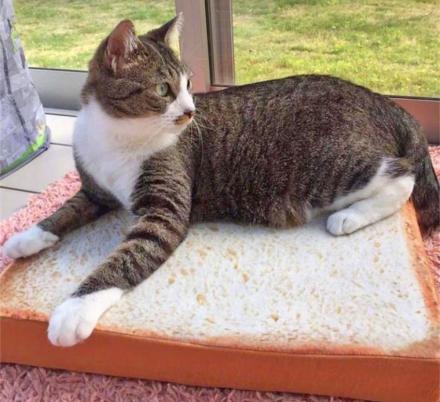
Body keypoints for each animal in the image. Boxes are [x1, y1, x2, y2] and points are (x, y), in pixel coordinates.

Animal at [4, 15, 440, 348]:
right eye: (164, 89)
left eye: (188, 85)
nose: (190, 111)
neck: (118, 135)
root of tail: (382, 100)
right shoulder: (95, 191)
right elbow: (65, 210)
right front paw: (26, 238)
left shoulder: (165, 211)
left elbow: (129, 257)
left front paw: (74, 310)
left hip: (334, 167)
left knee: (401, 176)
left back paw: (348, 218)